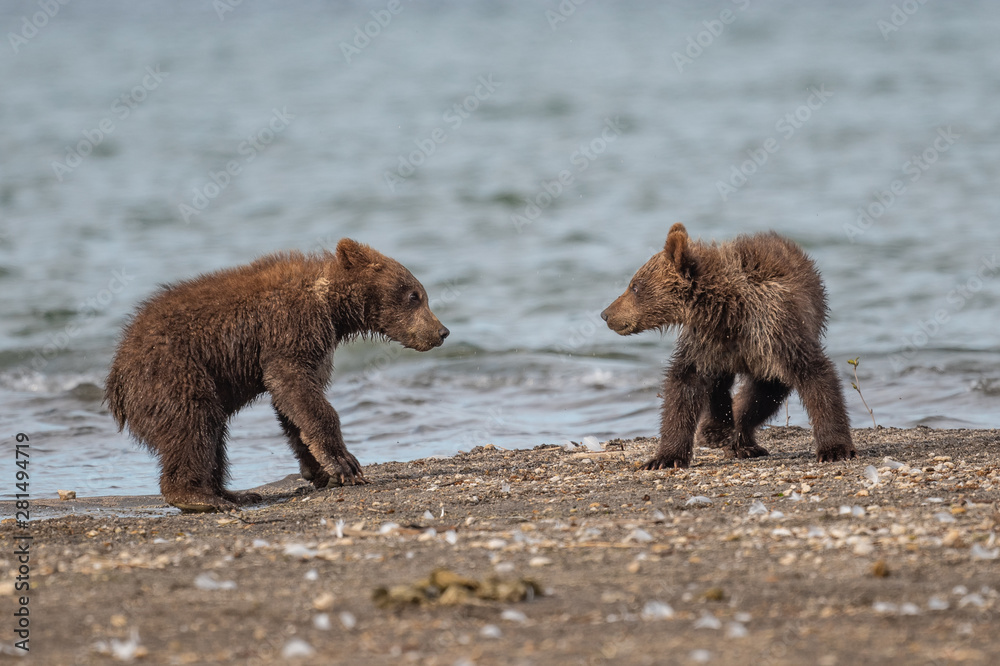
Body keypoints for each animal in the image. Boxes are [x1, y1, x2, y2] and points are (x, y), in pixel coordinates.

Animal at [105, 239, 449, 512]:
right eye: (415, 295)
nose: (442, 331)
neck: (333, 308)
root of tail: (116, 376)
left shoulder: (314, 347)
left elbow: (294, 407)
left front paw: (319, 469)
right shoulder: (290, 329)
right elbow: (298, 391)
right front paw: (346, 464)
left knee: (212, 436)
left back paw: (233, 493)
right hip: (174, 373)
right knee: (193, 424)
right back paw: (199, 497)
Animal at [602, 223, 855, 469]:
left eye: (634, 286)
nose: (606, 314)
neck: (726, 310)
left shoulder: (776, 329)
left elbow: (814, 376)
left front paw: (834, 449)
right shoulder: (703, 343)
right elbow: (684, 385)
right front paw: (665, 457)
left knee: (763, 393)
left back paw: (739, 440)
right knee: (720, 385)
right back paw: (716, 431)